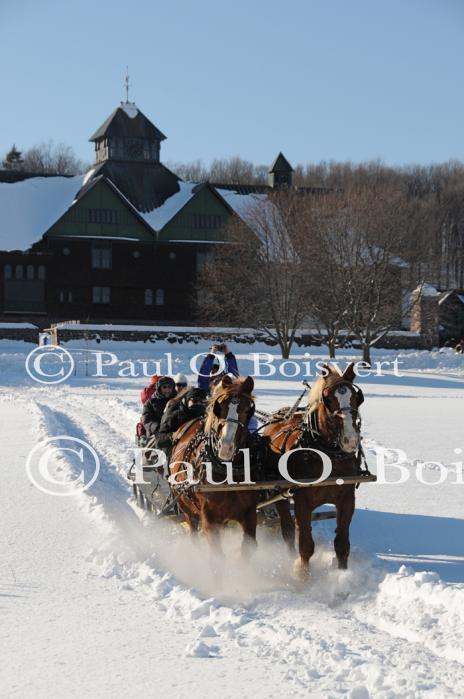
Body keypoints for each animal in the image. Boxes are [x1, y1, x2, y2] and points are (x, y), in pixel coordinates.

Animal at [169, 374, 260, 568]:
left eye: (247, 410)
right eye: (220, 408)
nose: (225, 448)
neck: (227, 472)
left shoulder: (249, 512)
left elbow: (248, 549)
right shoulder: (209, 518)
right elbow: (217, 558)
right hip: (186, 506)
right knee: (193, 532)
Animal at [260, 360, 366, 580]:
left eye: (357, 397)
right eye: (328, 399)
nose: (350, 440)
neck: (328, 454)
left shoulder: (347, 498)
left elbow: (342, 544)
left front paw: (342, 577)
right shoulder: (302, 500)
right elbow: (305, 545)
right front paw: (302, 576)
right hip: (279, 494)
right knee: (288, 529)